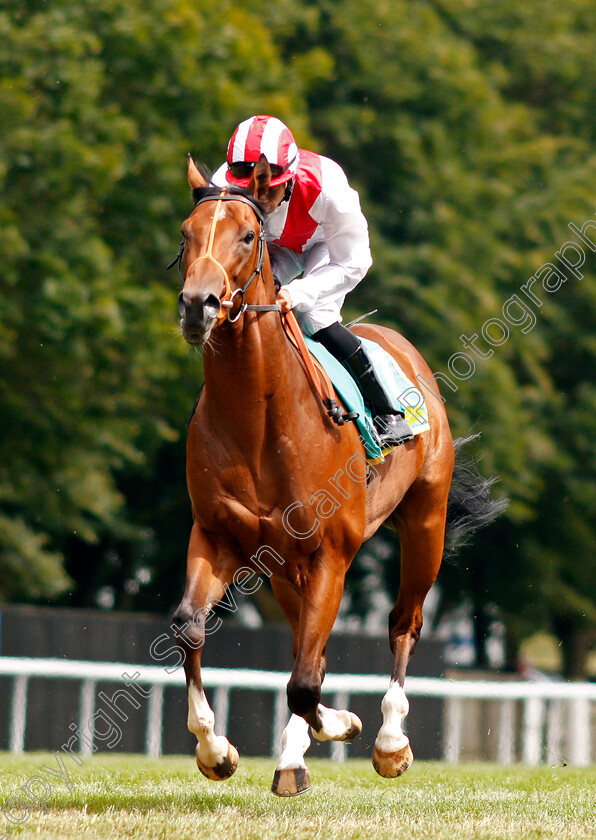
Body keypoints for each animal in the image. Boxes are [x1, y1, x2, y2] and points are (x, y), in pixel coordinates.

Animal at [171, 156, 498, 796]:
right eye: (186, 234)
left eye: (247, 236)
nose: (199, 304)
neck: (257, 417)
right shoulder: (218, 536)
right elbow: (191, 629)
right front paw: (214, 748)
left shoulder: (332, 552)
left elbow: (304, 681)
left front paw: (347, 727)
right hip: (282, 570)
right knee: (309, 647)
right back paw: (298, 752)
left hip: (425, 522)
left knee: (403, 622)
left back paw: (390, 742)